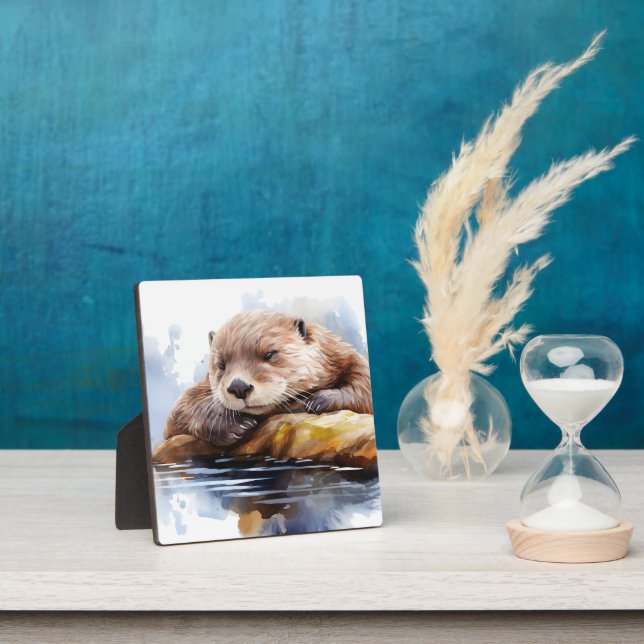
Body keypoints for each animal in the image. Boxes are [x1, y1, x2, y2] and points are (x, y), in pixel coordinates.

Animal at [163, 310, 373, 447]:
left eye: (269, 354)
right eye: (221, 364)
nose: (239, 386)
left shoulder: (342, 355)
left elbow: (365, 385)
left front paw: (320, 400)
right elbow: (182, 409)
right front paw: (236, 425)